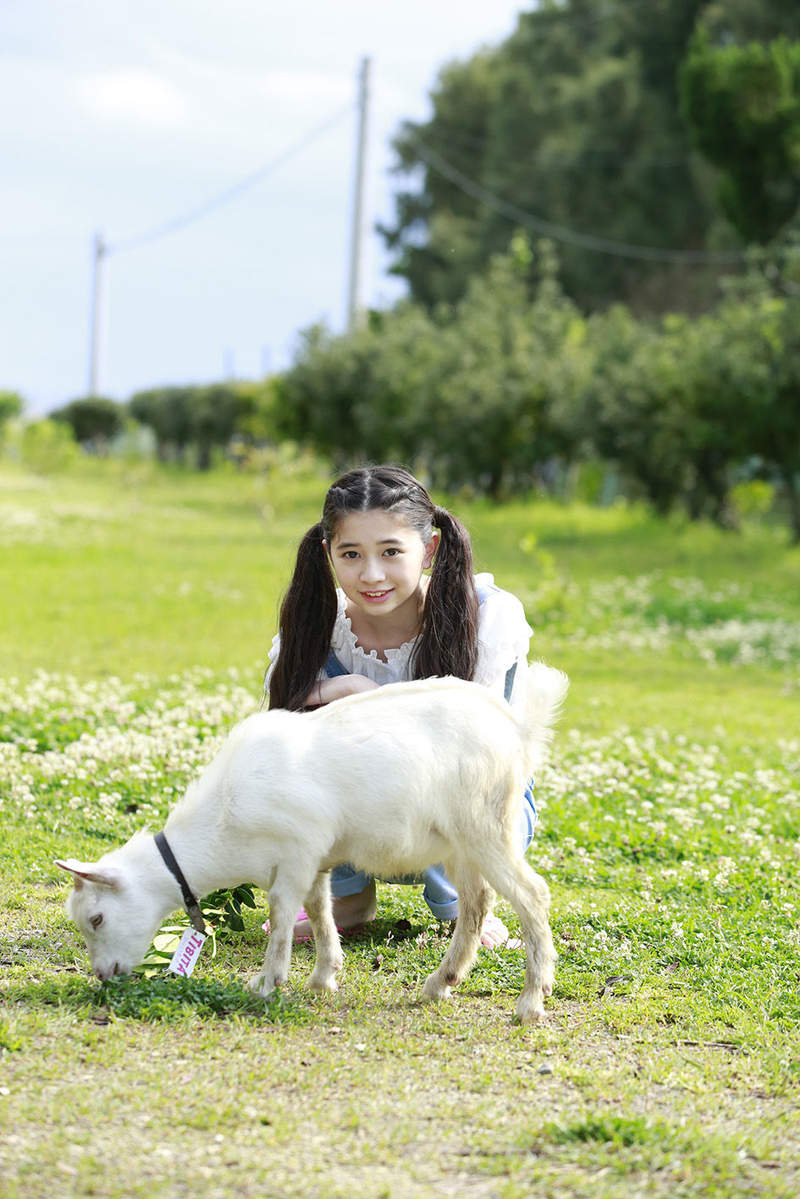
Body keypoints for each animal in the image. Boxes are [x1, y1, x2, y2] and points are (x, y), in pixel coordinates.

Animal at [56, 666, 568, 1021]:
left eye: (96, 918)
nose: (103, 975)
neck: (223, 818)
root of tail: (516, 728)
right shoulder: (318, 859)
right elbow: (321, 912)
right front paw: (324, 977)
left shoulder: (297, 851)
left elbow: (283, 916)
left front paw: (268, 983)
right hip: (461, 844)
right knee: (477, 904)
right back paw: (441, 983)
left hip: (486, 827)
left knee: (531, 896)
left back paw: (530, 1001)